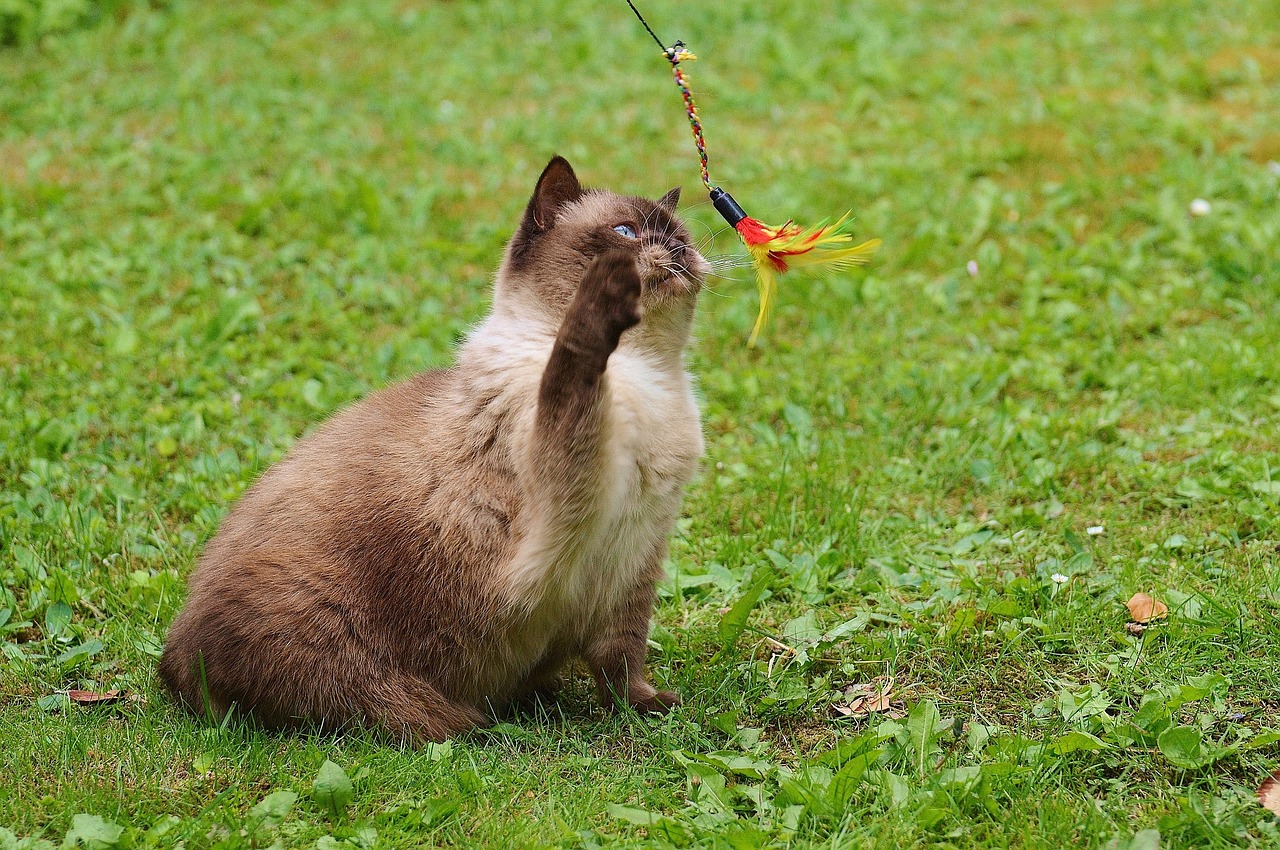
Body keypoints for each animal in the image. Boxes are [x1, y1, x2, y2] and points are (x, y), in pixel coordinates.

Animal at [157, 157, 711, 742]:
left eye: (681, 235)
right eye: (626, 233)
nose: (676, 250)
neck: (648, 378)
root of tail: (172, 664)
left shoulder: (634, 557)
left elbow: (622, 662)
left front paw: (645, 709)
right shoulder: (563, 501)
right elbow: (574, 363)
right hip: (352, 654)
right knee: (406, 715)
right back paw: (484, 722)